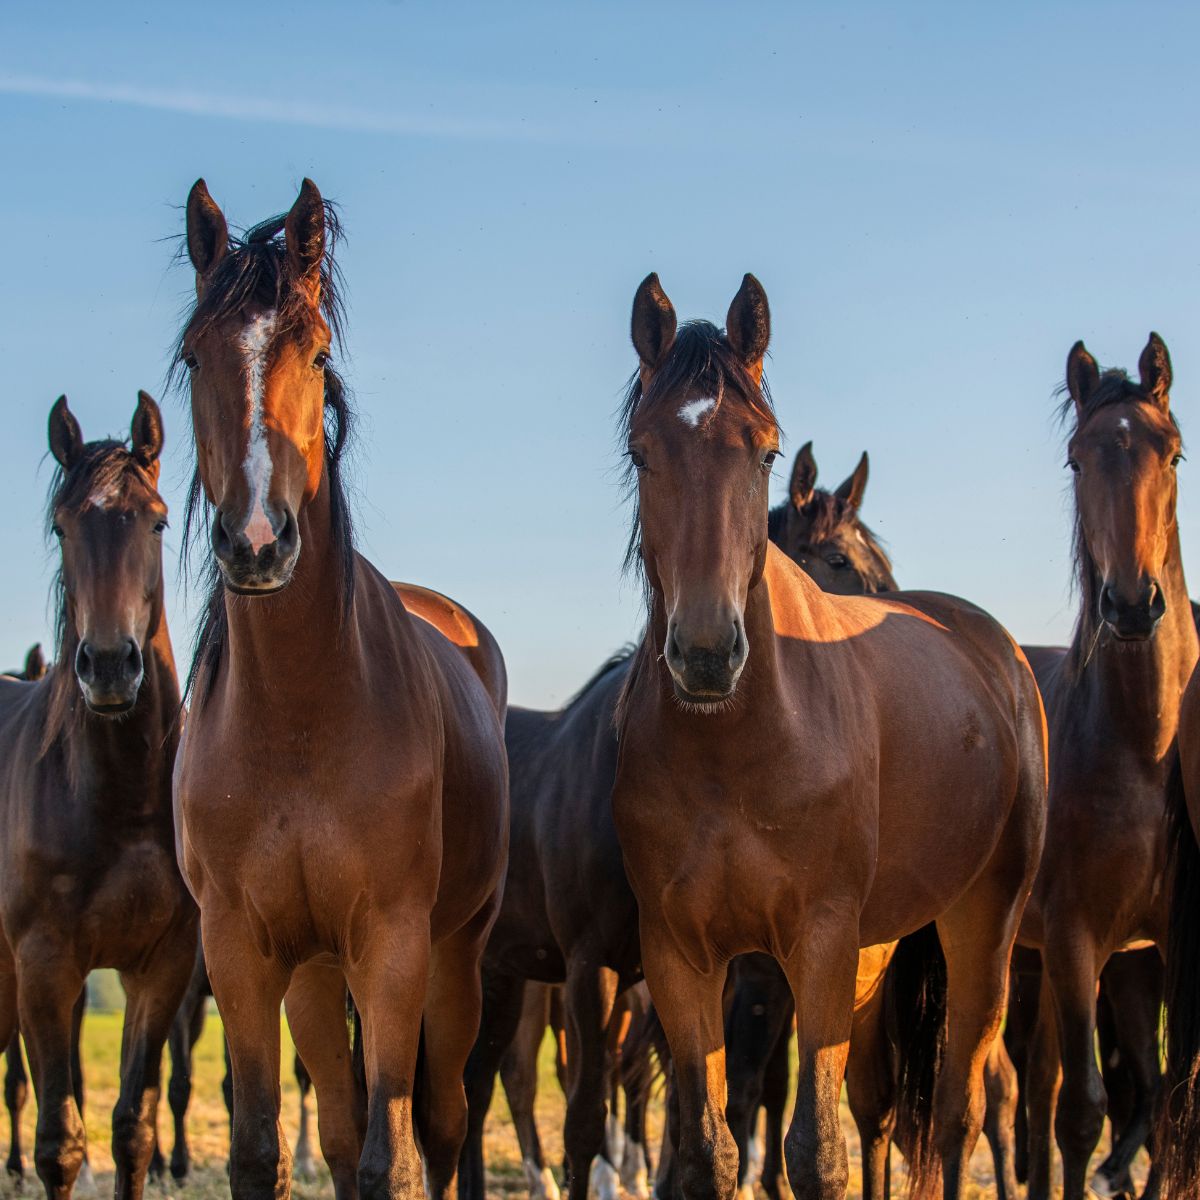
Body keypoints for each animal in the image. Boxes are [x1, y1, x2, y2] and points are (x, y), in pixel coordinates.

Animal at [174, 180, 506, 1200]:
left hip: (455, 956)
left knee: (440, 1124)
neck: (300, 715)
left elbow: (389, 1160)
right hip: (317, 975)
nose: (256, 542)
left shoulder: (393, 946)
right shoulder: (241, 951)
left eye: (316, 353)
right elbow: (264, 1147)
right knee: (338, 1117)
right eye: (193, 355)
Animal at [604, 274, 1046, 1200]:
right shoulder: (683, 959)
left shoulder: (819, 944)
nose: (707, 652)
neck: (736, 752)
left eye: (766, 451)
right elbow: (713, 1147)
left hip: (983, 929)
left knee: (959, 1116)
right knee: (884, 1109)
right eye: (640, 452)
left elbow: (812, 1150)